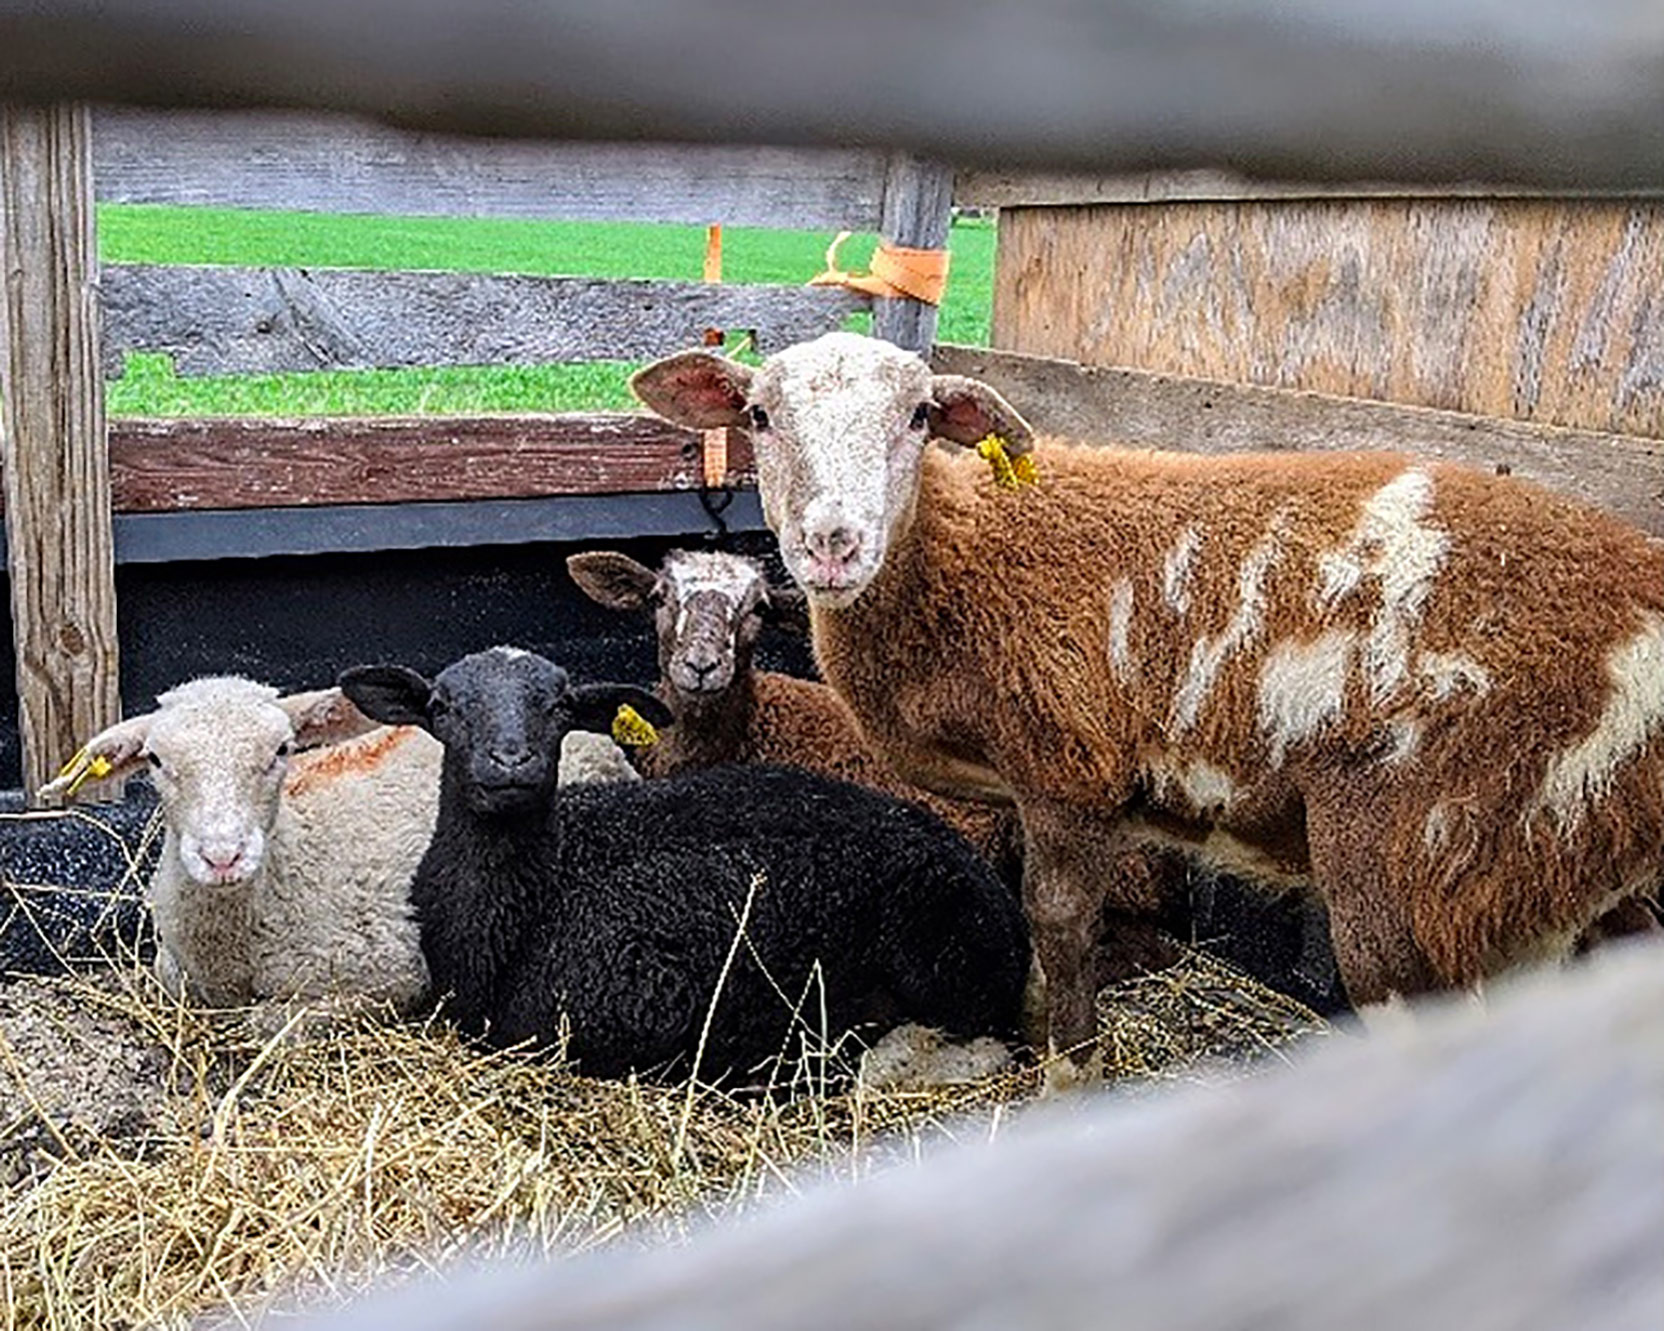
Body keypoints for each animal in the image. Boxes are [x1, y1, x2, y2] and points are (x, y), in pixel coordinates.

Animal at [632, 329, 1664, 1078]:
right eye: (758, 414)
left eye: (921, 415)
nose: (832, 545)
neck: (959, 558)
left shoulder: (1068, 772)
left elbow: (1059, 925)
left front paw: (1068, 1071)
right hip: (1569, 864)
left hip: (1428, 863)